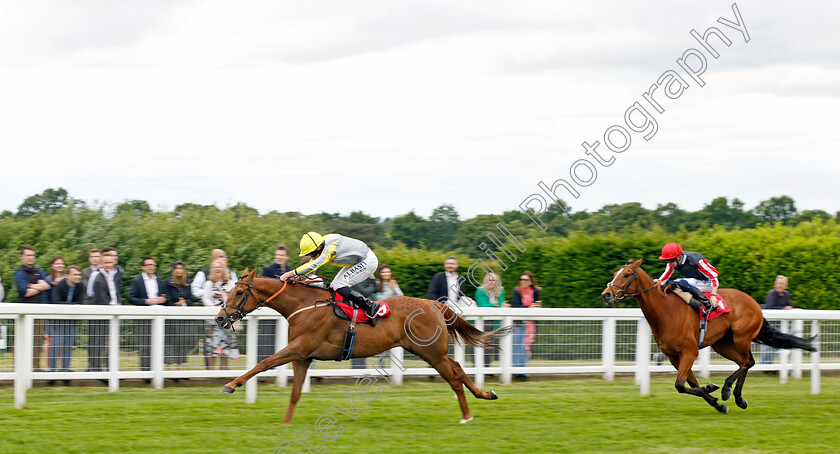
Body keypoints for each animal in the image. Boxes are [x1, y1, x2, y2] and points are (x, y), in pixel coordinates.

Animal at [213, 270, 508, 422]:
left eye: (239, 292)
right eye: (228, 290)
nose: (220, 318)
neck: (304, 304)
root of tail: (436, 305)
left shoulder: (299, 348)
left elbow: (263, 363)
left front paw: (231, 385)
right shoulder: (303, 356)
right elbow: (295, 392)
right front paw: (285, 423)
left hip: (431, 353)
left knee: (454, 377)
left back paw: (467, 415)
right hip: (430, 352)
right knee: (457, 367)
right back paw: (485, 394)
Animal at [600, 258, 816, 414]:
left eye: (627, 274)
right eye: (614, 273)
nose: (606, 294)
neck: (666, 312)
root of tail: (754, 303)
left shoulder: (689, 351)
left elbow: (680, 384)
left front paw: (711, 389)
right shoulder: (674, 356)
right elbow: (690, 383)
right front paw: (716, 402)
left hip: (741, 337)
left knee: (748, 362)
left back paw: (729, 390)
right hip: (723, 344)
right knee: (744, 362)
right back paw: (738, 398)